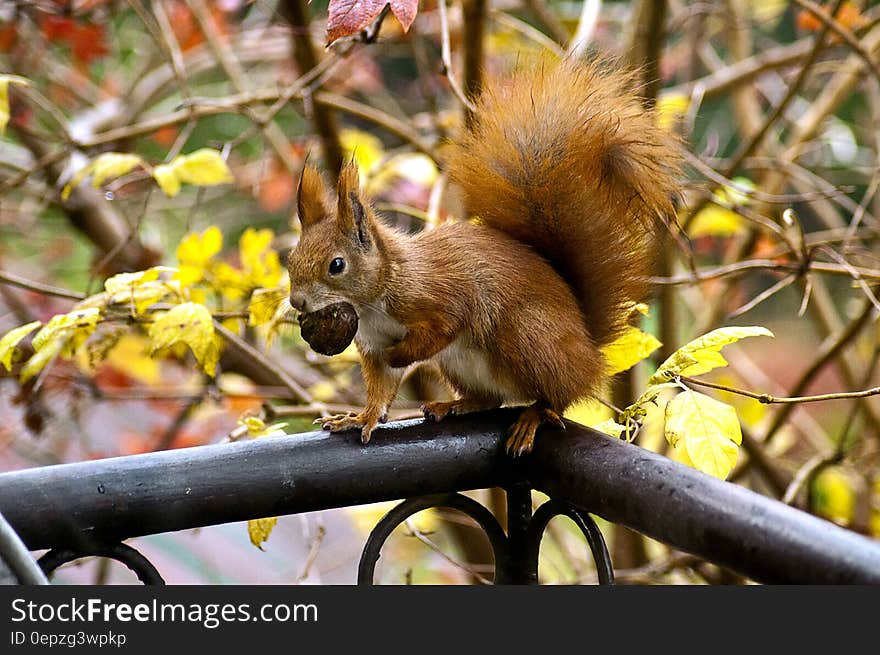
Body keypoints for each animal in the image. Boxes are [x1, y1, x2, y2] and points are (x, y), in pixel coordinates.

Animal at [288, 59, 680, 456]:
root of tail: (587, 348)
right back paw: (455, 405)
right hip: (463, 365)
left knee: (558, 396)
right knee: (493, 400)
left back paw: (534, 415)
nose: (297, 302)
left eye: (337, 265)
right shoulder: (373, 342)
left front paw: (401, 355)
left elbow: (441, 328)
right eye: (291, 261)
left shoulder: (439, 296)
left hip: (528, 337)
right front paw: (360, 418)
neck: (376, 296)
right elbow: (381, 386)